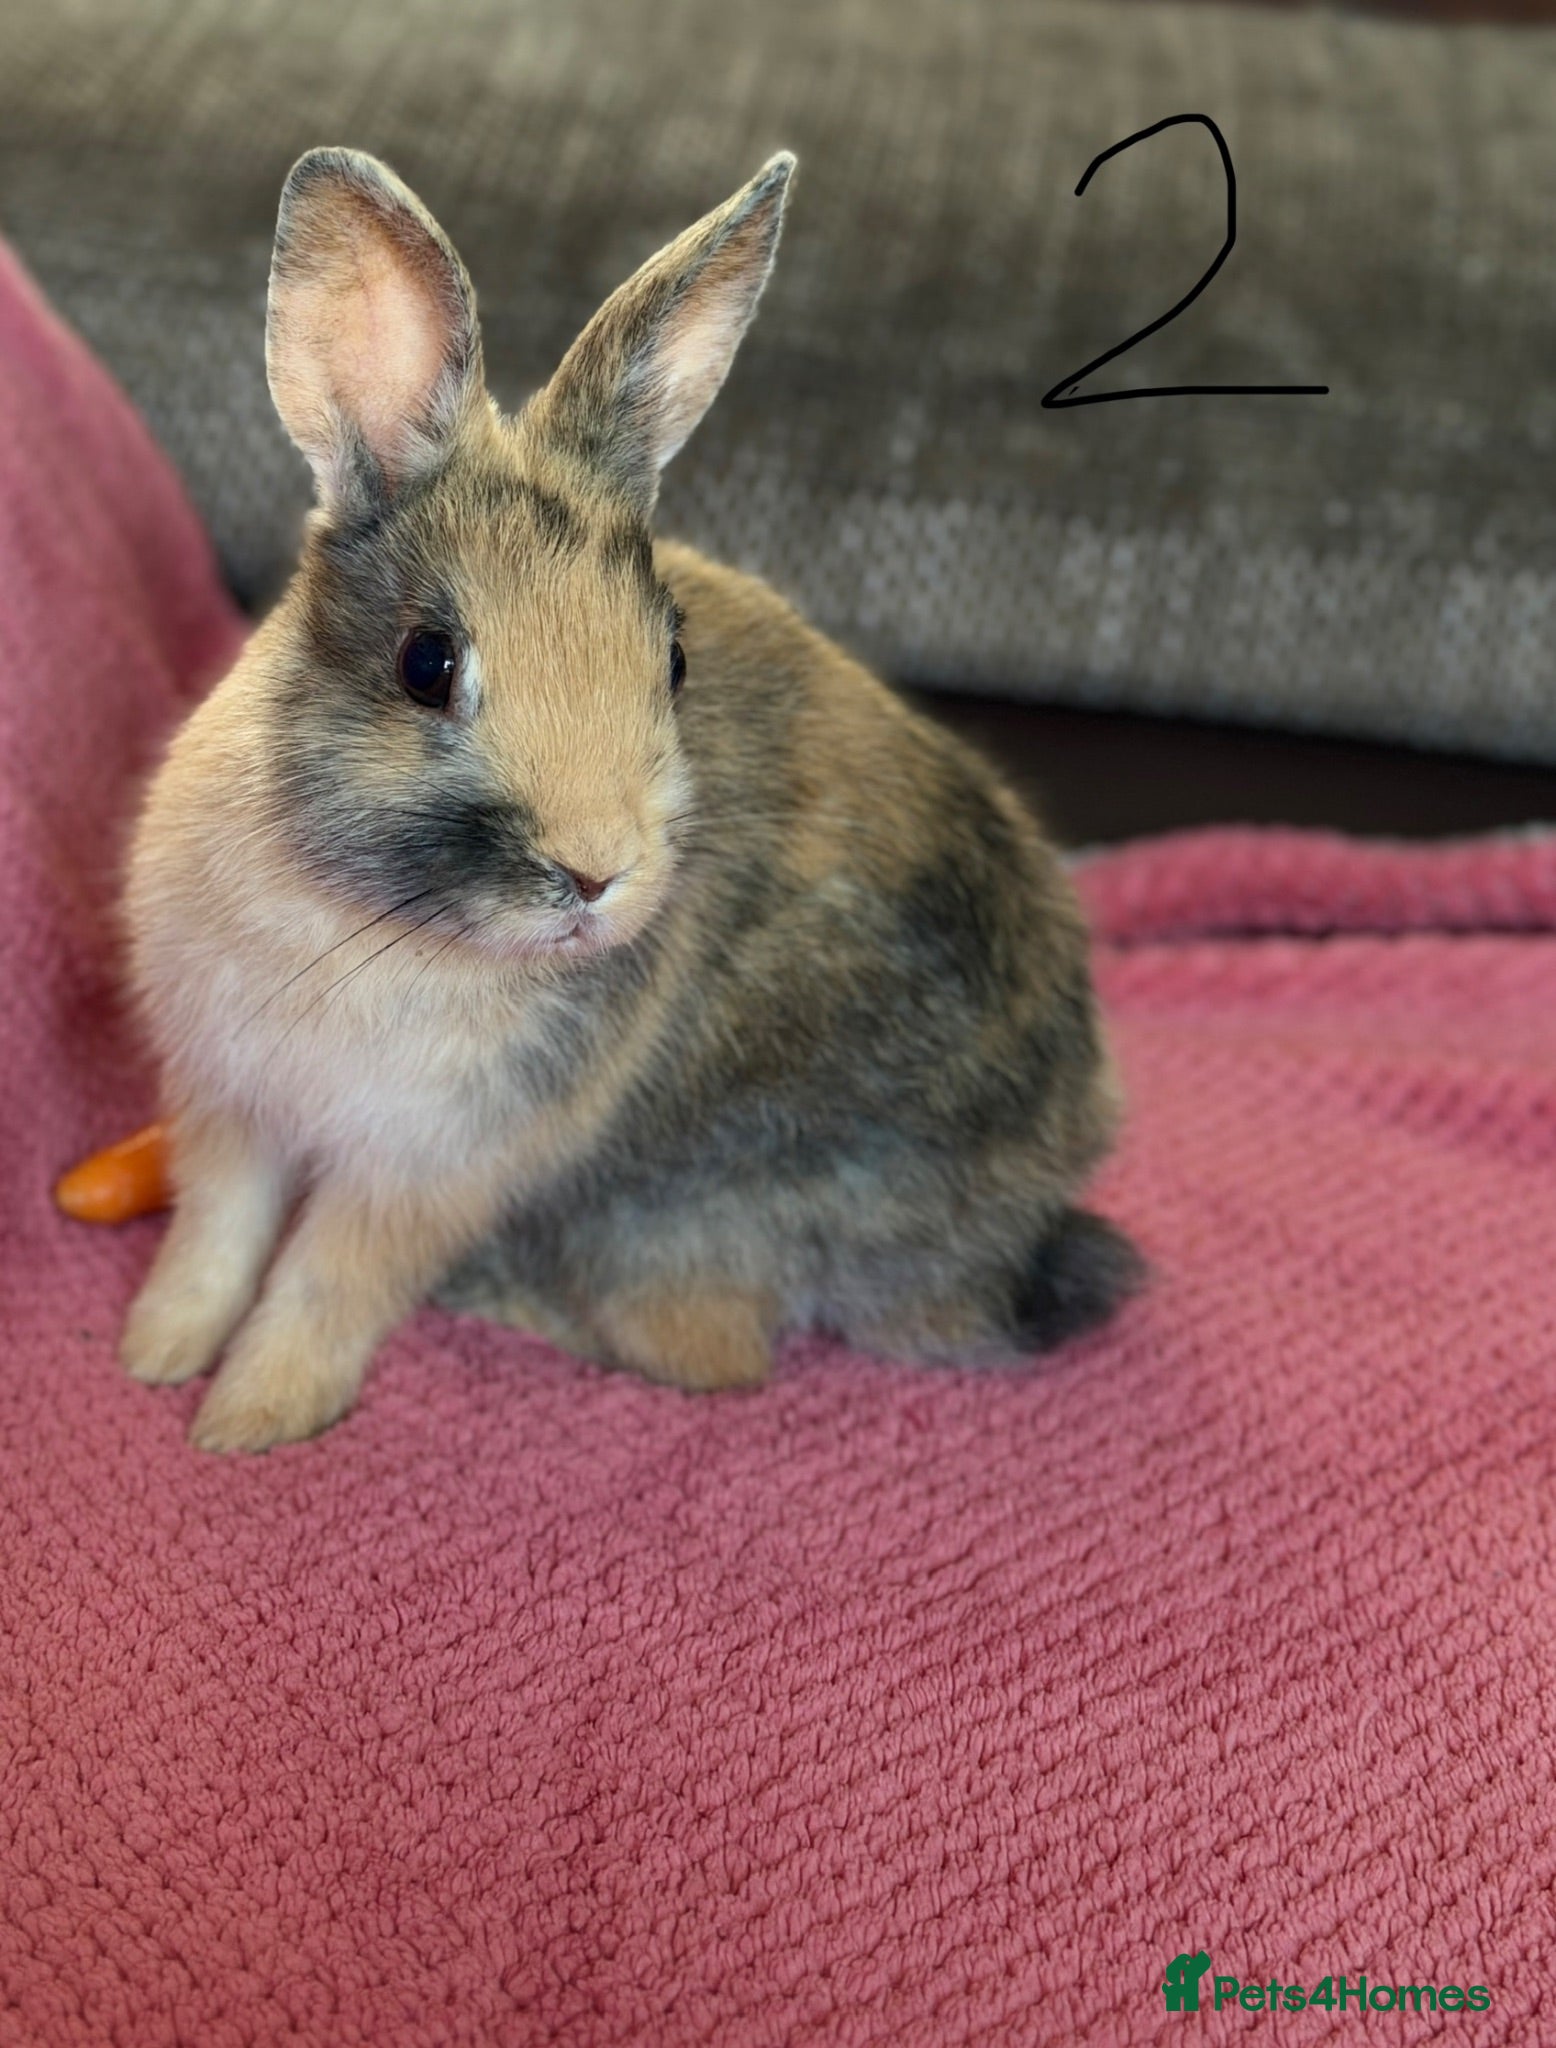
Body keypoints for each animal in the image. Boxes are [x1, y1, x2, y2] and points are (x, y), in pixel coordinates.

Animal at [120, 145, 1142, 1454]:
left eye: (671, 658)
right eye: (425, 662)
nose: (595, 872)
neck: (362, 918)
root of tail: (1014, 1241)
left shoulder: (424, 1172)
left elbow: (325, 1283)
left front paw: (248, 1418)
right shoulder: (227, 1104)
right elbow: (217, 1237)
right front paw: (157, 1355)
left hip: (675, 1220)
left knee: (706, 1354)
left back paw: (507, 1296)